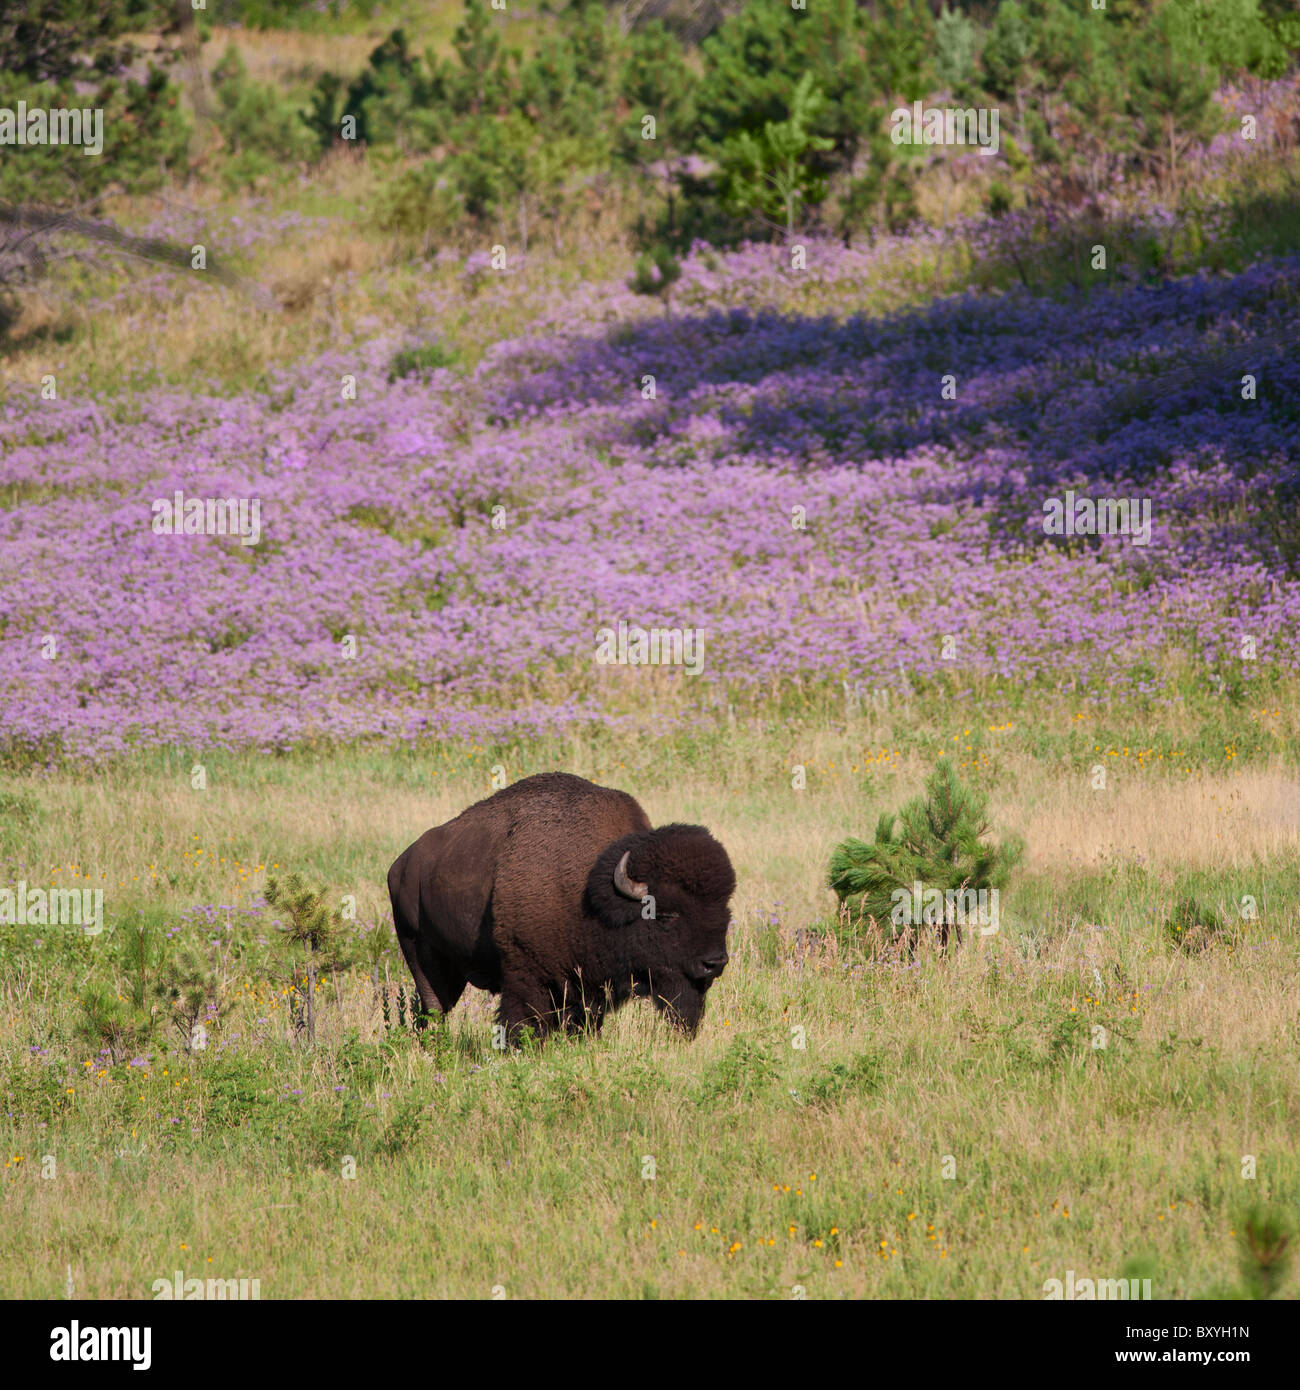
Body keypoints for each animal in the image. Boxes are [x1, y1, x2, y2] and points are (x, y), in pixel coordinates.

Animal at [386, 772, 739, 1045]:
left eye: (725, 912)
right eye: (665, 915)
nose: (714, 963)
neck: (592, 891)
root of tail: (400, 865)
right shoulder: (526, 975)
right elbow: (522, 1022)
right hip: (422, 955)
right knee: (434, 1008)